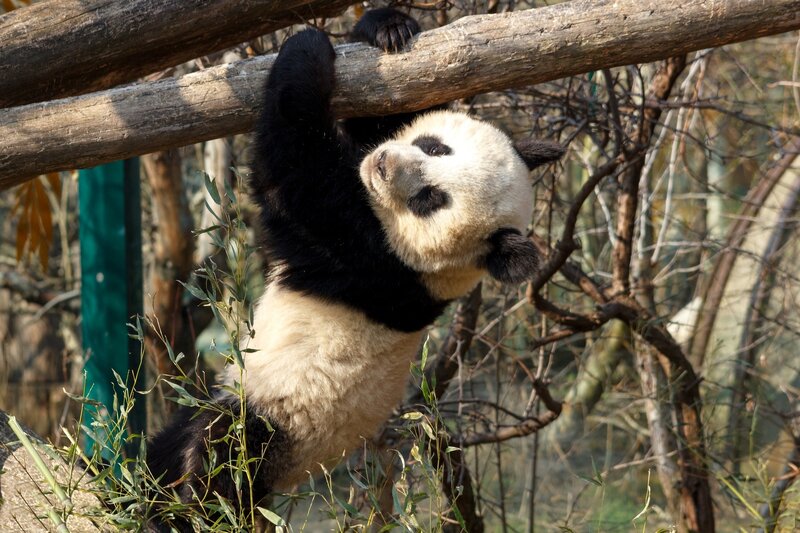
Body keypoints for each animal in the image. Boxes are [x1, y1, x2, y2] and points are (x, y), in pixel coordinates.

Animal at [147, 7, 564, 521]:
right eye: (434, 147)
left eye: (430, 199)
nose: (383, 165)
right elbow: (374, 120)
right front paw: (388, 28)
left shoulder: (373, 261)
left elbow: (294, 174)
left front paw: (306, 48)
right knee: (171, 444)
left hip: (276, 424)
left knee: (222, 455)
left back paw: (186, 504)